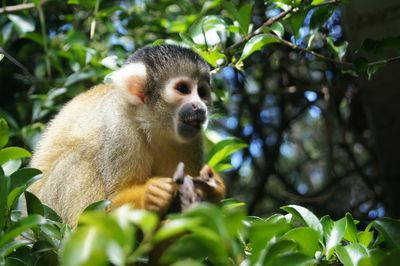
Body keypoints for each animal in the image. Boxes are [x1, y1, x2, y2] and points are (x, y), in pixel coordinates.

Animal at [28, 44, 225, 225]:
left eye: (202, 93)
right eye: (183, 89)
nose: (199, 107)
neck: (153, 124)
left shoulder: (192, 141)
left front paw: (210, 188)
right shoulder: (120, 128)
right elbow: (113, 206)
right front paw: (151, 194)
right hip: (47, 204)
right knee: (78, 160)